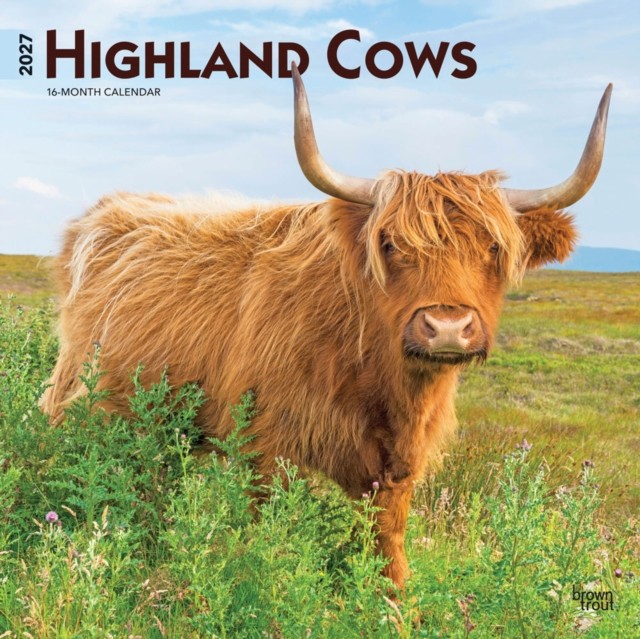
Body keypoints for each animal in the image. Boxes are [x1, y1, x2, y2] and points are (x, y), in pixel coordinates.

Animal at [40, 67, 611, 588]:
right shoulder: (263, 443)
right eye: (390, 244)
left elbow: (386, 546)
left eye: (494, 247)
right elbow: (266, 536)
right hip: (82, 400)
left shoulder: (396, 466)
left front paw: (395, 607)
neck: (376, 377)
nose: (447, 327)